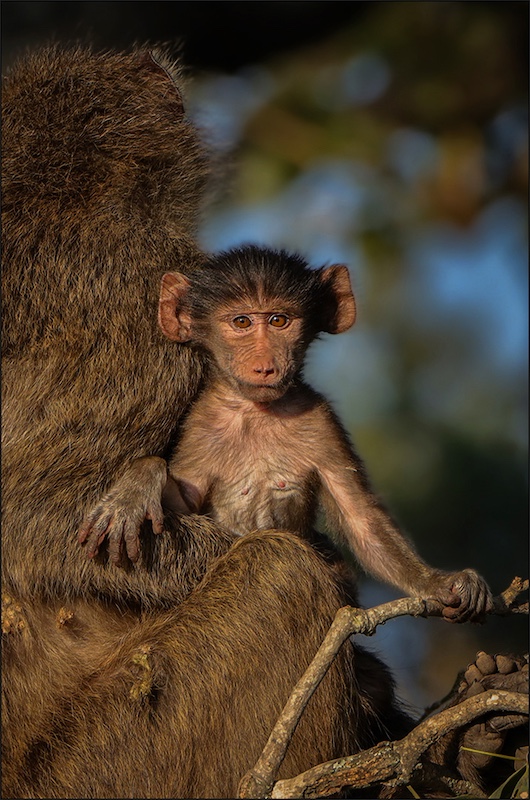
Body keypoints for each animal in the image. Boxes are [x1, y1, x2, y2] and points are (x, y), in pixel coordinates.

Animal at [79, 245, 493, 624]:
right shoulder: (199, 427)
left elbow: (361, 518)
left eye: (279, 320)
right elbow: (180, 506)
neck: (256, 412)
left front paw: (440, 582)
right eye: (242, 322)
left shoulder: (321, 421)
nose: (265, 365)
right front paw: (137, 485)